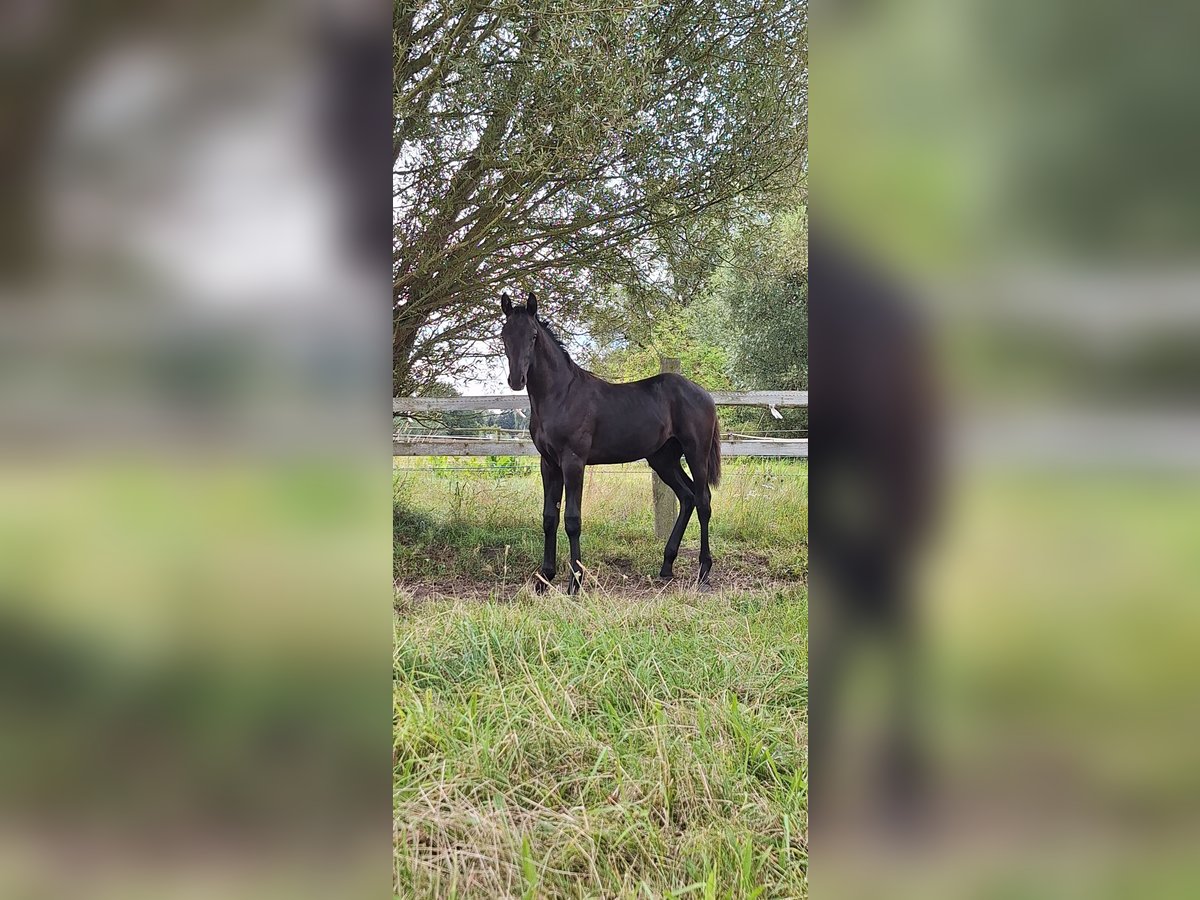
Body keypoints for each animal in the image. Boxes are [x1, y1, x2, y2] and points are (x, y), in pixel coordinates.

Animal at [499, 292, 720, 595]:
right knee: (687, 497)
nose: (516, 380)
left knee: (703, 500)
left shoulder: (573, 461)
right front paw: (544, 578)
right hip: (663, 459)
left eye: (533, 335)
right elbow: (549, 518)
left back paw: (703, 570)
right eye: (504, 335)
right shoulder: (549, 464)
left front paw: (575, 582)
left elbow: (572, 520)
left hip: (696, 452)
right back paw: (666, 566)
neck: (560, 395)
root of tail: (705, 394)